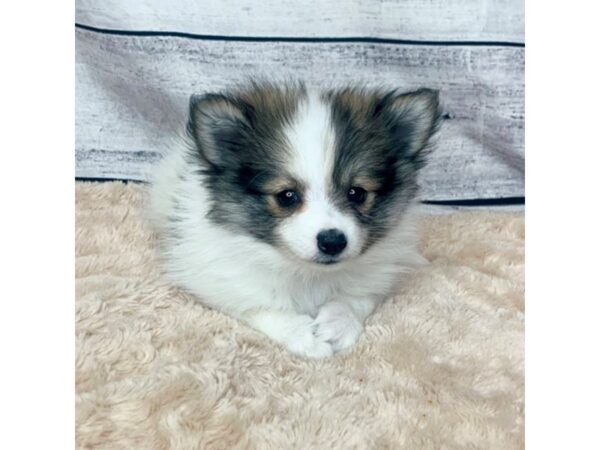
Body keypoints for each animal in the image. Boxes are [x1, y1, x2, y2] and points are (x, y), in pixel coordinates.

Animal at [149, 81, 440, 358]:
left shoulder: (377, 275)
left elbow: (359, 296)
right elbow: (259, 307)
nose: (332, 242)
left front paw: (339, 321)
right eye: (286, 196)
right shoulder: (212, 280)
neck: (310, 274)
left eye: (357, 193)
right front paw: (303, 335)